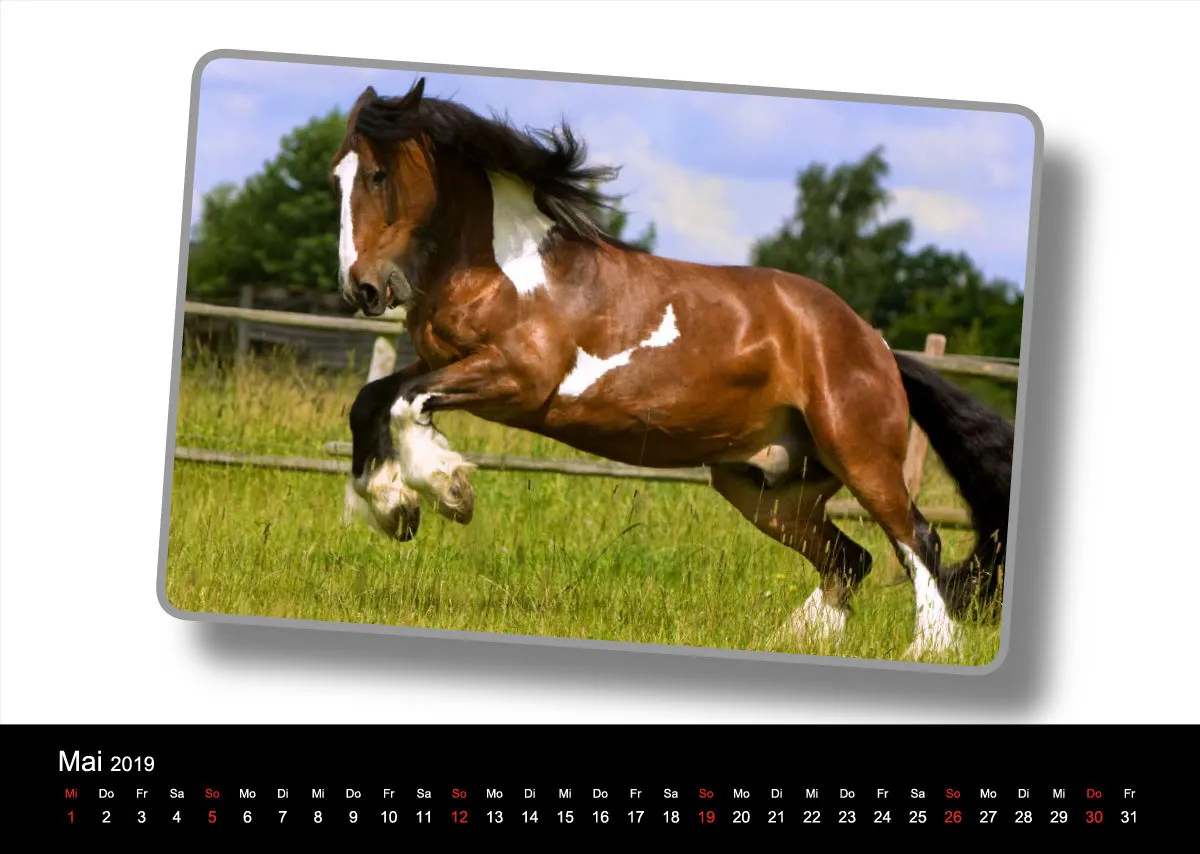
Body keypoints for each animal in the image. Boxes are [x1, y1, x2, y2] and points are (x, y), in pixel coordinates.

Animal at [332, 79, 1014, 659]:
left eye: (379, 175)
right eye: (337, 176)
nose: (362, 289)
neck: (507, 270)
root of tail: (874, 343)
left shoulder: (518, 381)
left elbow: (408, 404)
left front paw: (447, 489)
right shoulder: (445, 362)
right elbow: (372, 401)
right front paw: (393, 506)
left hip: (860, 454)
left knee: (917, 540)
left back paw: (929, 648)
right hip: (763, 485)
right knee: (850, 560)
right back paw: (792, 638)